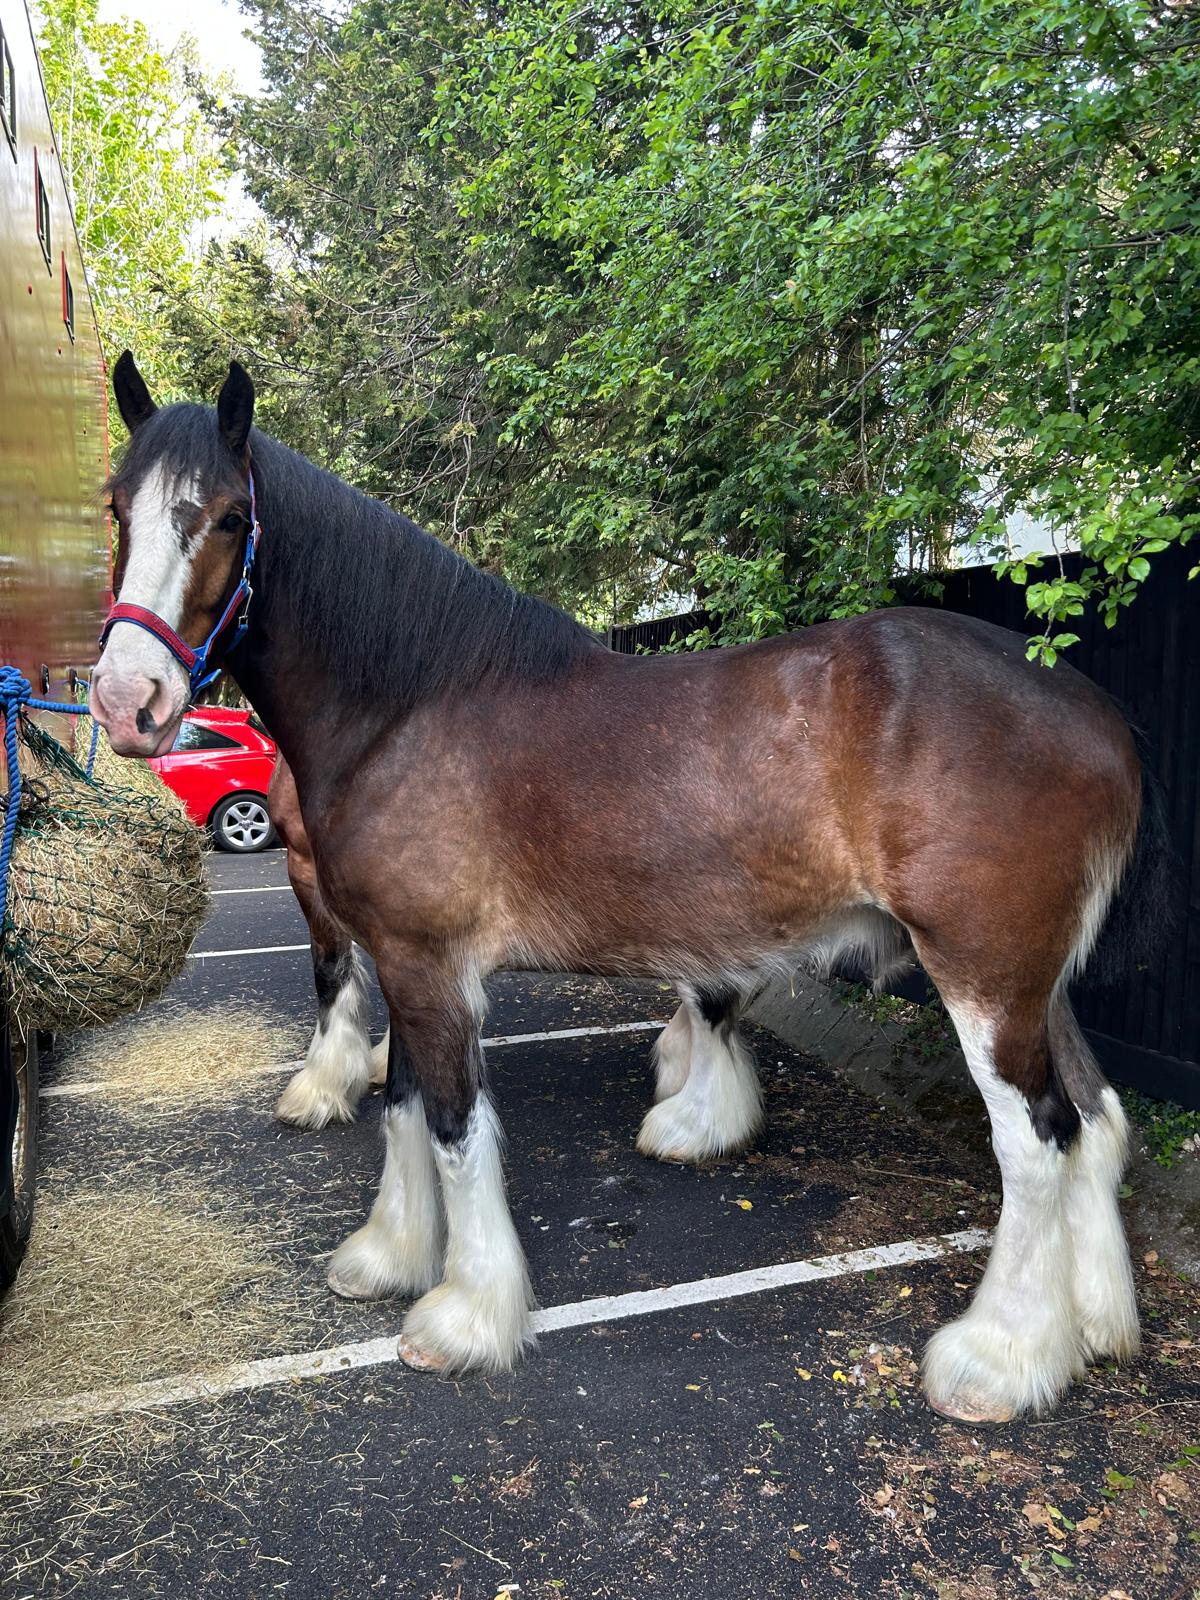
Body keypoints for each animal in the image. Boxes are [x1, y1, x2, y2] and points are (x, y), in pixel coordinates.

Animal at [89, 353, 1167, 1422]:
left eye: (228, 516)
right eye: (117, 508)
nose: (127, 700)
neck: (410, 704)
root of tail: (1093, 711)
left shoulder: (428, 966)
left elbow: (453, 1125)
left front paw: (465, 1316)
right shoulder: (401, 961)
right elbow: (401, 1105)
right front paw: (391, 1256)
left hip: (983, 977)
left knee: (1037, 1142)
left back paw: (998, 1360)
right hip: (1031, 983)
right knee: (1096, 1120)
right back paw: (1090, 1328)